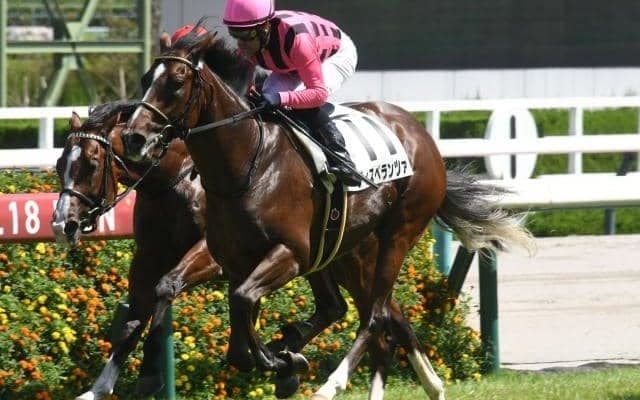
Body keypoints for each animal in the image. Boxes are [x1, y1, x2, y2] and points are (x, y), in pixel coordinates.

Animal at [51, 101, 349, 399]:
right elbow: (131, 322)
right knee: (333, 306)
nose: (62, 225)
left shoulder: (211, 255)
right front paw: (98, 388)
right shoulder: (148, 255)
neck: (174, 179)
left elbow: (167, 287)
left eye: (91, 164)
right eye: (59, 165)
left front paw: (149, 374)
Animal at [122, 30, 534, 400]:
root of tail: (421, 134)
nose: (134, 137)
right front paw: (284, 359)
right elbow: (235, 332)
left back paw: (331, 383)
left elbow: (241, 302)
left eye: (176, 83)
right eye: (145, 79)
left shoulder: (289, 253)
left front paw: (283, 362)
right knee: (348, 308)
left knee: (375, 316)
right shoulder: (235, 261)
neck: (247, 165)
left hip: (397, 234)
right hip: (338, 250)